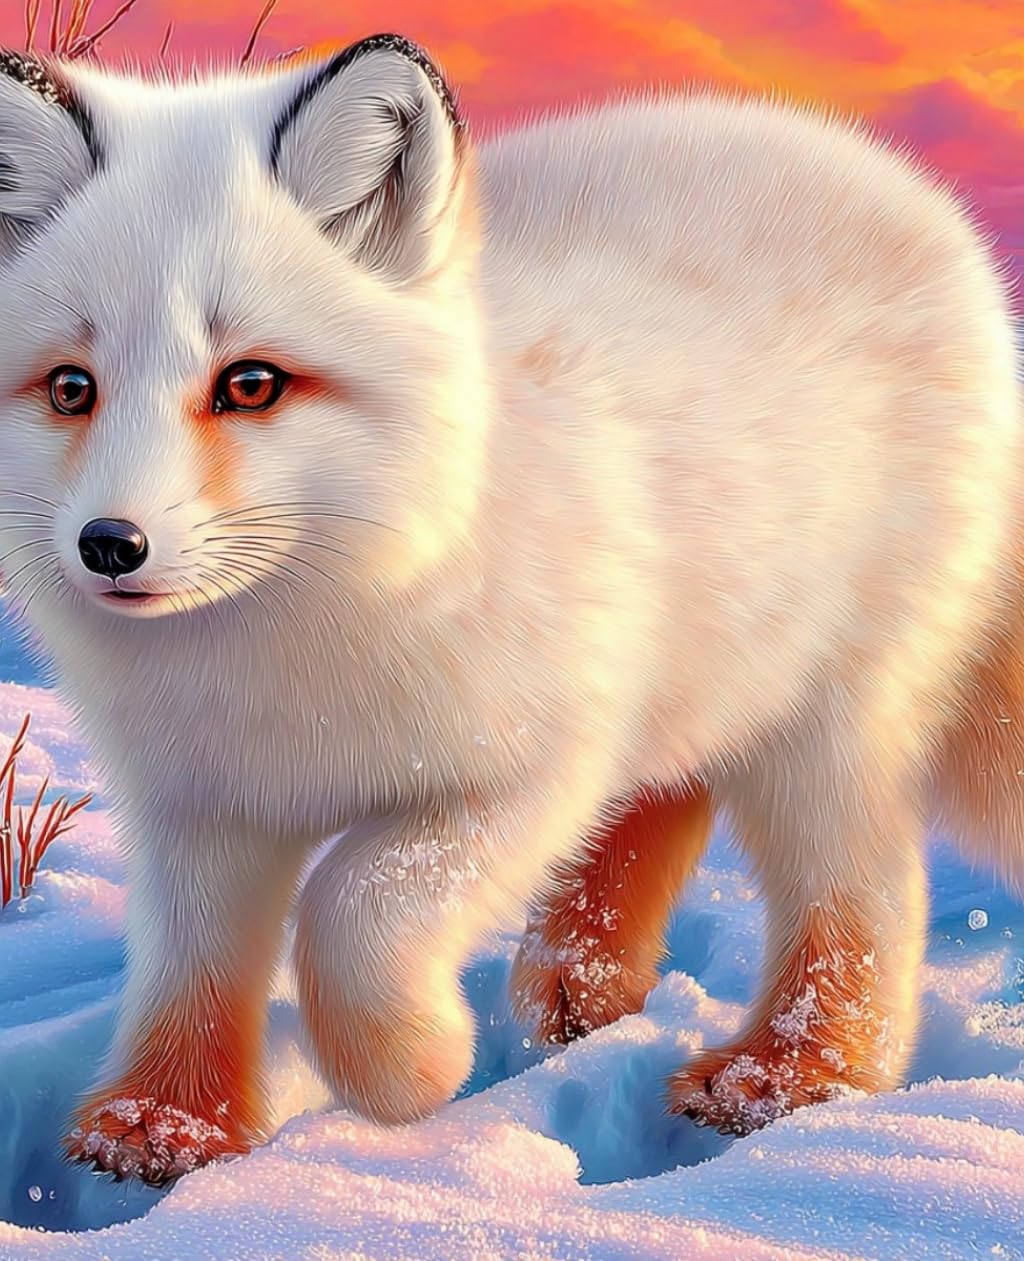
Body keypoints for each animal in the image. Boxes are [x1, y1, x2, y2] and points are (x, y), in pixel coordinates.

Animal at [0, 31, 1020, 1188]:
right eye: (71, 389)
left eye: (250, 384)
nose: (108, 546)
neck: (285, 662)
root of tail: (888, 177)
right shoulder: (198, 800)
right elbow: (193, 965)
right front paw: (163, 1124)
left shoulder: (526, 771)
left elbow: (354, 910)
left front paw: (410, 1070)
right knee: (667, 797)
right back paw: (583, 983)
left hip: (826, 724)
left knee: (866, 891)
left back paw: (792, 1075)